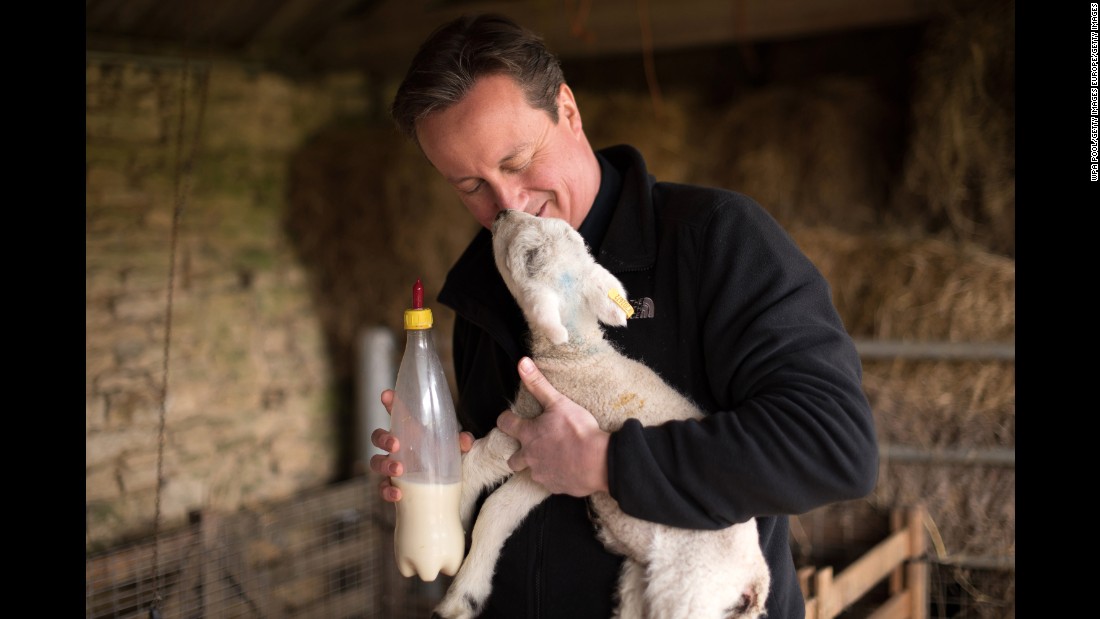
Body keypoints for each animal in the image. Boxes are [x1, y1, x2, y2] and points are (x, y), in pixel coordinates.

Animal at [433, 209, 770, 619]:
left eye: (527, 254)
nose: (502, 213)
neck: (577, 354)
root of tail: (754, 581)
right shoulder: (543, 469)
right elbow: (501, 509)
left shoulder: (529, 425)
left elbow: (476, 468)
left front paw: (452, 523)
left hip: (689, 590)